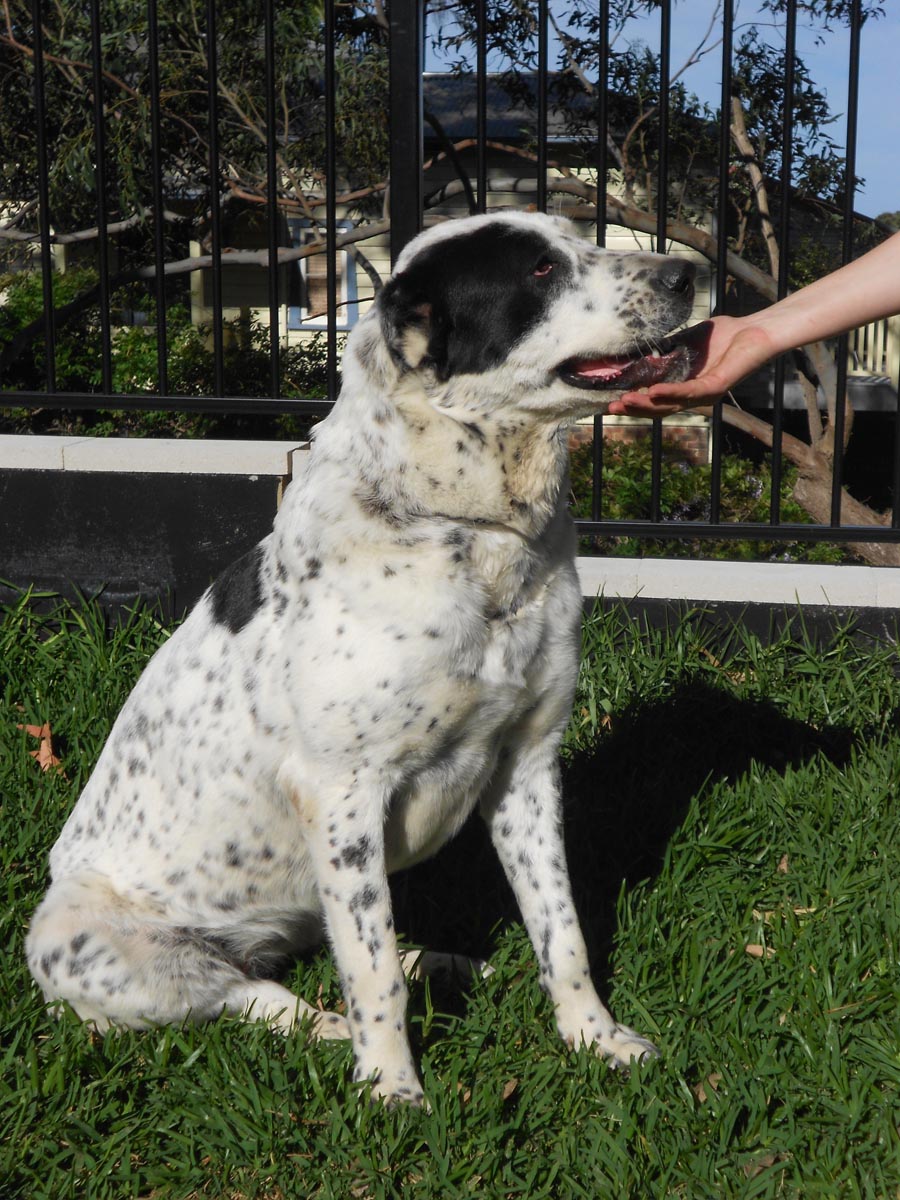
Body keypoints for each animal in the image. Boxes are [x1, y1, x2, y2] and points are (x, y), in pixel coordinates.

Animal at [26, 211, 705, 1099]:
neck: (474, 531)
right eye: (540, 269)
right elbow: (370, 970)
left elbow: (562, 932)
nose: (690, 274)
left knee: (328, 948)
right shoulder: (342, 793)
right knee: (256, 994)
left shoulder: (527, 766)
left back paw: (445, 962)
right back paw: (333, 1027)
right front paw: (391, 1090)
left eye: (577, 239)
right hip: (80, 940)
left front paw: (595, 1037)